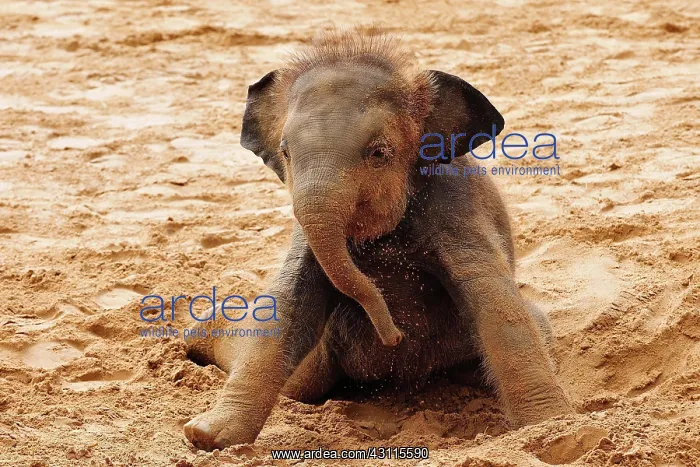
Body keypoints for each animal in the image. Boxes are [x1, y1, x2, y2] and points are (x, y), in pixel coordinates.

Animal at [183, 29, 572, 451]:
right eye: (285, 153)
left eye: (379, 153)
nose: (394, 336)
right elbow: (289, 302)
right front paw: (206, 437)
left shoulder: (456, 207)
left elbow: (492, 295)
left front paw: (553, 427)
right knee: (302, 384)